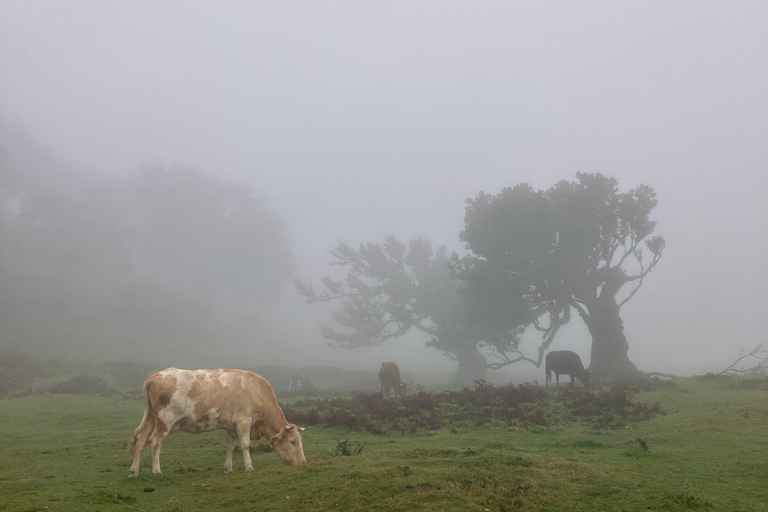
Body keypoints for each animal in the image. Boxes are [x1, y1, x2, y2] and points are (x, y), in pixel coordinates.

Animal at [127, 368, 304, 476]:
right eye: (292, 441)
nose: (303, 462)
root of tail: (156, 374)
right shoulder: (244, 421)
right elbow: (245, 445)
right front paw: (249, 467)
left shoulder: (232, 426)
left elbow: (230, 447)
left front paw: (228, 468)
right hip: (165, 420)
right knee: (155, 441)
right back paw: (156, 471)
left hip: (152, 419)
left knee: (141, 439)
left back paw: (134, 471)